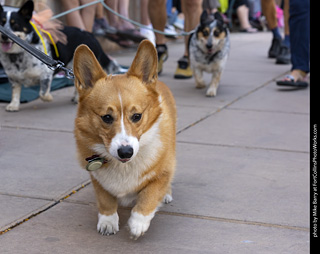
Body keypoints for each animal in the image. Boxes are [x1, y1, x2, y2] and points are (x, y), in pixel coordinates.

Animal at [73, 40, 176, 239]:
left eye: (137, 116)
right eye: (106, 117)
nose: (126, 152)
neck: (124, 166)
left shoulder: (162, 172)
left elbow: (149, 195)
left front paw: (138, 223)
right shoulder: (97, 178)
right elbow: (105, 200)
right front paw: (108, 222)